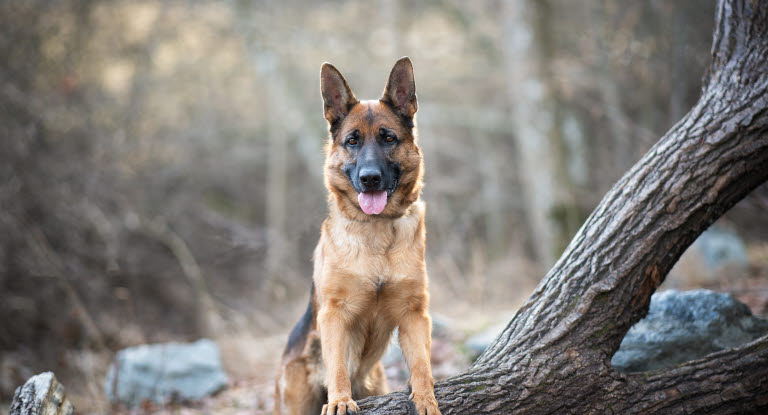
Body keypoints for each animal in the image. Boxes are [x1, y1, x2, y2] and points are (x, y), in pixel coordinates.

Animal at [272, 57, 440, 415]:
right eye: (352, 141)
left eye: (388, 139)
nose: (370, 178)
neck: (377, 234)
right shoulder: (335, 314)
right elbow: (337, 365)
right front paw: (339, 401)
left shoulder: (414, 313)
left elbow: (422, 364)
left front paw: (425, 397)